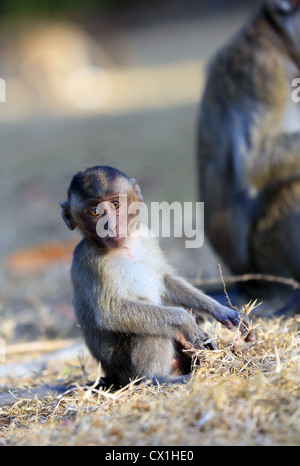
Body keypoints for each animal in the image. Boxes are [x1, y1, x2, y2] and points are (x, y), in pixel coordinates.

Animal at [60, 166, 251, 388]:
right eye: (94, 212)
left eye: (116, 204)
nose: (110, 224)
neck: (126, 247)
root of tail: (113, 377)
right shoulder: (90, 259)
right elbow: (110, 312)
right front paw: (185, 321)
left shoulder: (147, 235)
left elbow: (166, 281)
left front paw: (222, 311)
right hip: (127, 369)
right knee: (151, 327)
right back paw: (157, 378)